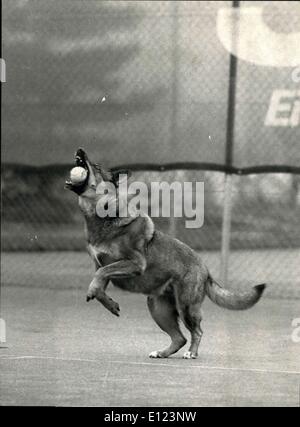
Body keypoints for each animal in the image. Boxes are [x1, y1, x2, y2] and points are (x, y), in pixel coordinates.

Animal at [65, 149, 264, 360]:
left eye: (95, 167)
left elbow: (100, 275)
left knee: (197, 332)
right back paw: (162, 352)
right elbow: (100, 284)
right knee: (179, 338)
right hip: (158, 308)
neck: (104, 214)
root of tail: (204, 268)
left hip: (185, 307)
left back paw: (191, 353)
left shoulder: (135, 263)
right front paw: (110, 304)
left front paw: (94, 293)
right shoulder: (102, 265)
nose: (80, 150)